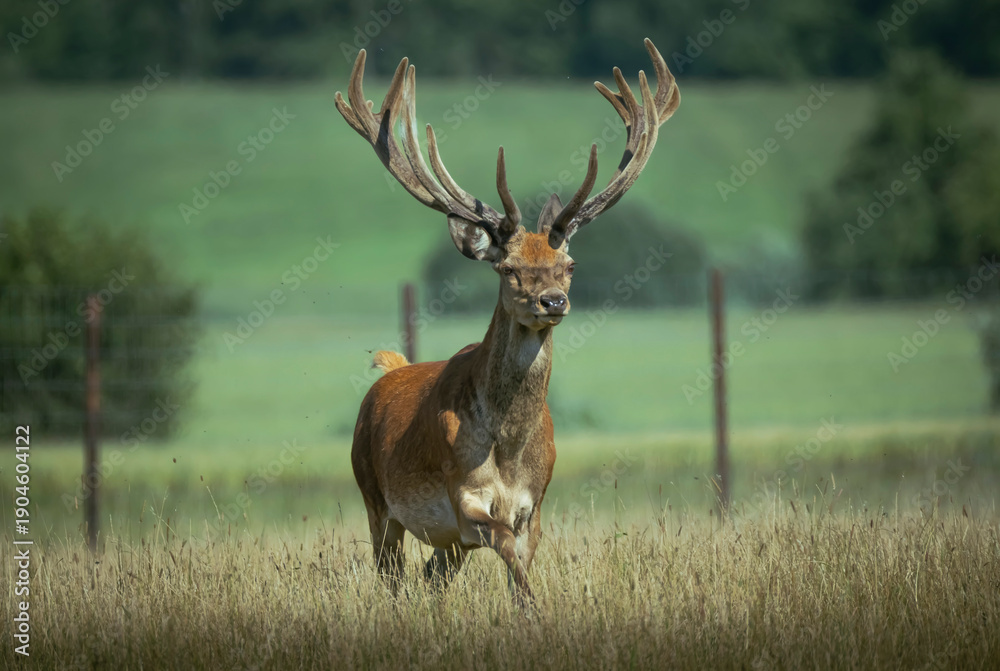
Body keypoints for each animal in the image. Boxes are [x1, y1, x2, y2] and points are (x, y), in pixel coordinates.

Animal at [336, 38, 679, 605]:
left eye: (569, 265)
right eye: (508, 268)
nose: (552, 301)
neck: (508, 450)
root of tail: (389, 371)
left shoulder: (534, 504)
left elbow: (521, 558)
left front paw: (529, 606)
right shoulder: (462, 495)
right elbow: (501, 545)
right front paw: (534, 605)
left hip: (437, 535)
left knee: (431, 575)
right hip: (374, 497)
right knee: (392, 574)